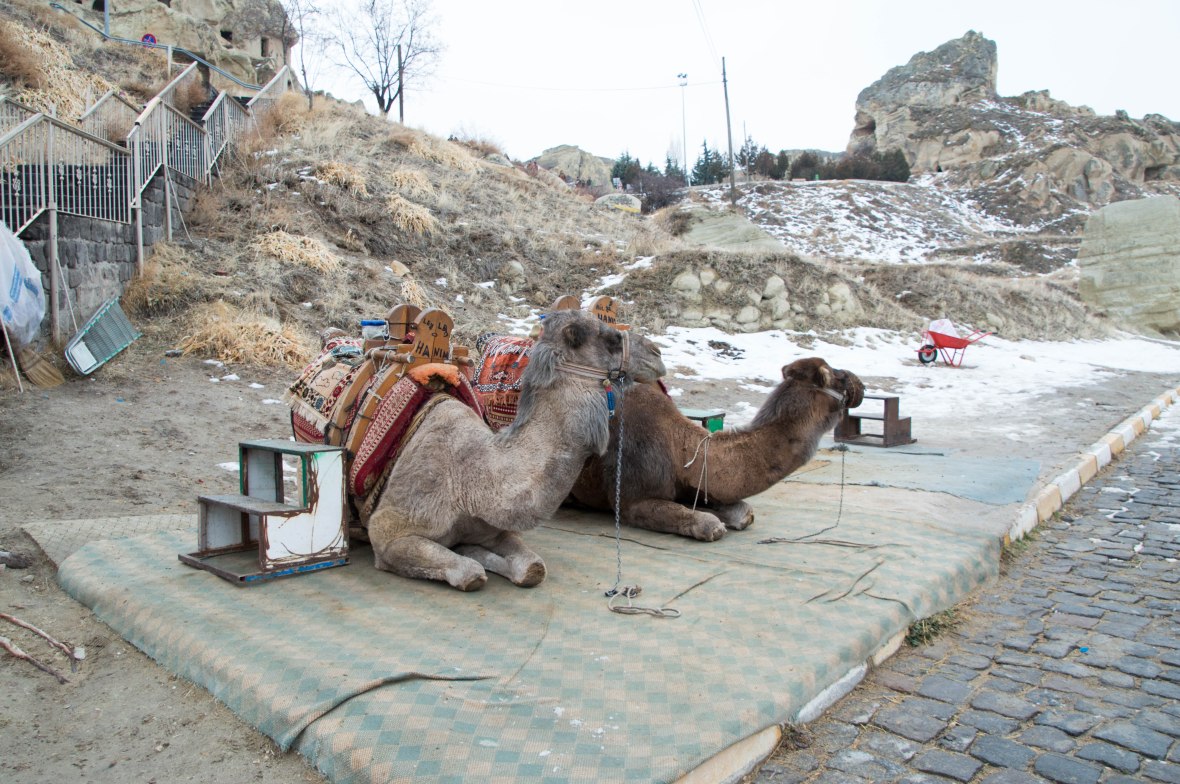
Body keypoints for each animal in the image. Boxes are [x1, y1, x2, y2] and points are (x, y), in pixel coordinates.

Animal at [365, 309, 666, 591]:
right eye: (611, 337)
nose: (657, 352)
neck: (469, 482)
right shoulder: (387, 532)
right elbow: (470, 573)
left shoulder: (493, 531)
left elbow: (533, 568)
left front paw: (470, 549)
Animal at [567, 357, 864, 542]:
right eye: (837, 375)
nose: (860, 384)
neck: (680, 447)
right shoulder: (631, 499)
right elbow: (709, 524)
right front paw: (710, 525)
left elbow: (744, 512)